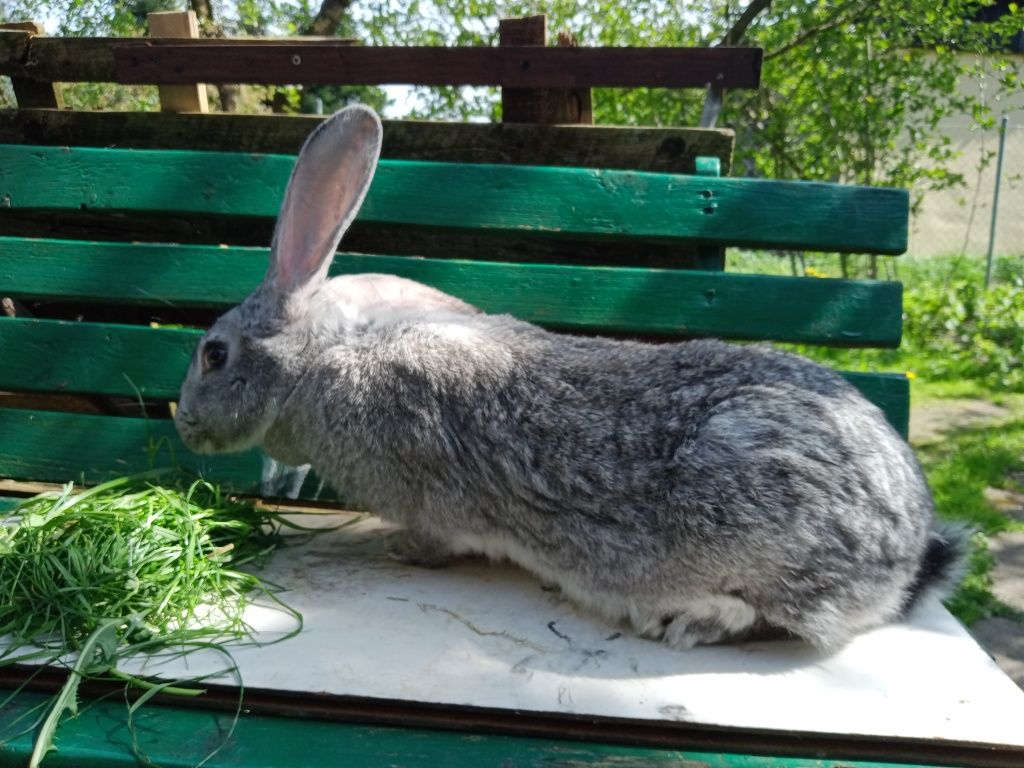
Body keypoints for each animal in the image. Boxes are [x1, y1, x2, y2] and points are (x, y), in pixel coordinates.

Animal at [172, 105, 962, 651]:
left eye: (214, 355)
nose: (181, 423)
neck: (324, 354)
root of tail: (907, 549)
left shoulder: (431, 501)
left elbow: (435, 539)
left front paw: (396, 551)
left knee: (786, 619)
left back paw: (691, 621)